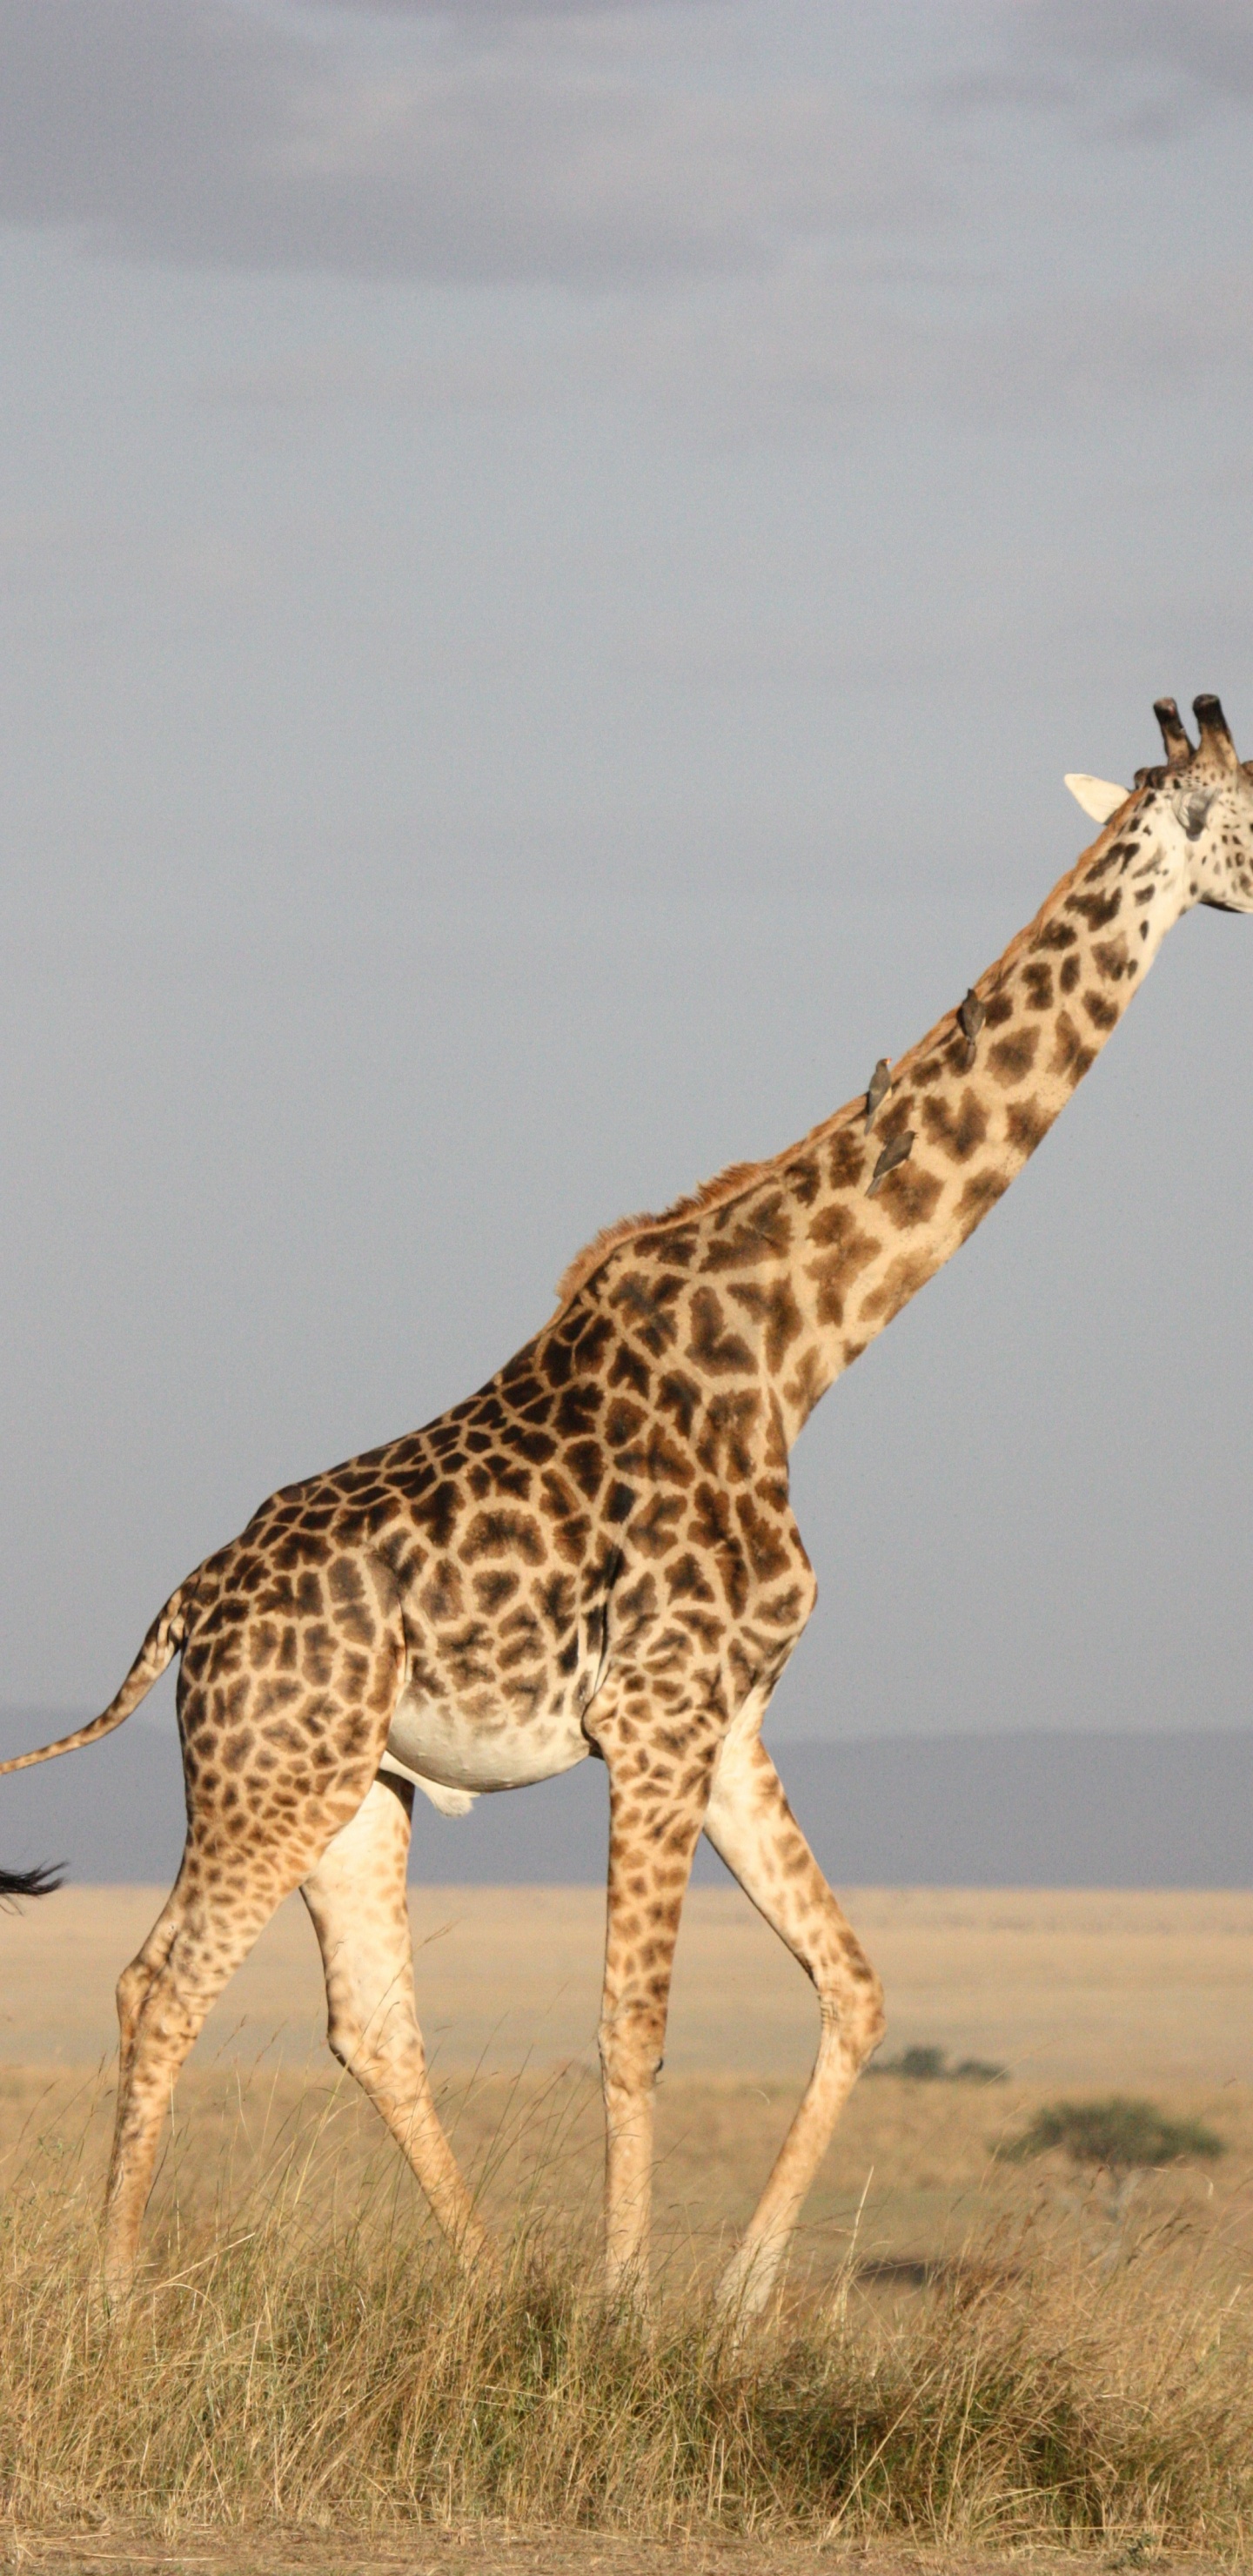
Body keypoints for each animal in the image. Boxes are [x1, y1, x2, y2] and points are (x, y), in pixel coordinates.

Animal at [3, 693, 1251, 2312]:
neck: (799, 1351)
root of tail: (185, 1610)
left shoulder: (731, 1720)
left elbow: (855, 1988)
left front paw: (735, 2303)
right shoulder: (654, 1716)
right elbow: (632, 2027)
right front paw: (623, 2309)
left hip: (354, 1789)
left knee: (369, 2021)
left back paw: (485, 2285)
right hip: (266, 1774)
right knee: (159, 1984)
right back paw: (115, 2293)